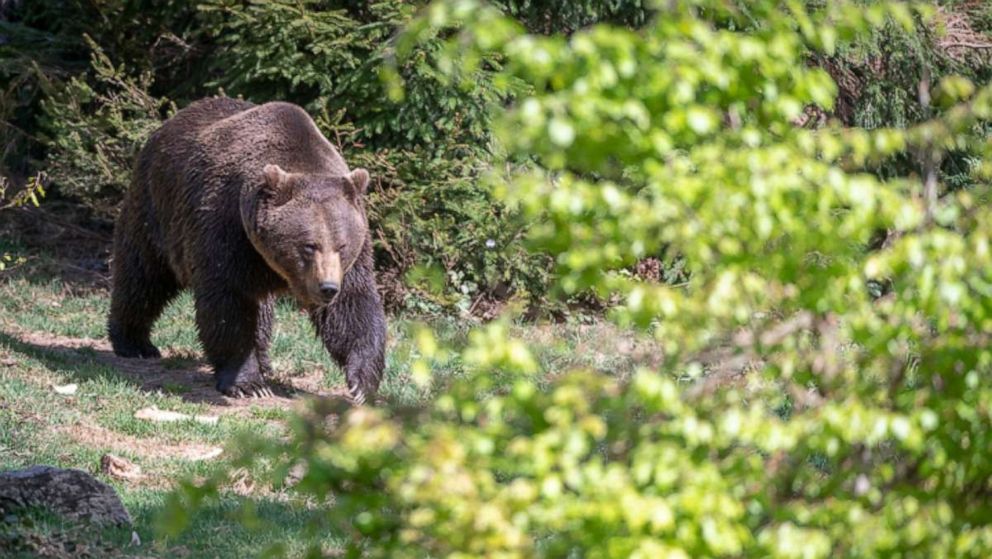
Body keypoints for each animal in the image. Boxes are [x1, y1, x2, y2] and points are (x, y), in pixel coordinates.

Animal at [108, 96, 386, 402]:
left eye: (342, 245)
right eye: (308, 245)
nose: (327, 288)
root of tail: (165, 125)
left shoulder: (353, 257)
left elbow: (353, 306)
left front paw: (361, 384)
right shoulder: (225, 227)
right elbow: (227, 302)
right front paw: (247, 383)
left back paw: (265, 362)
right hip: (156, 209)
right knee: (143, 276)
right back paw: (134, 343)